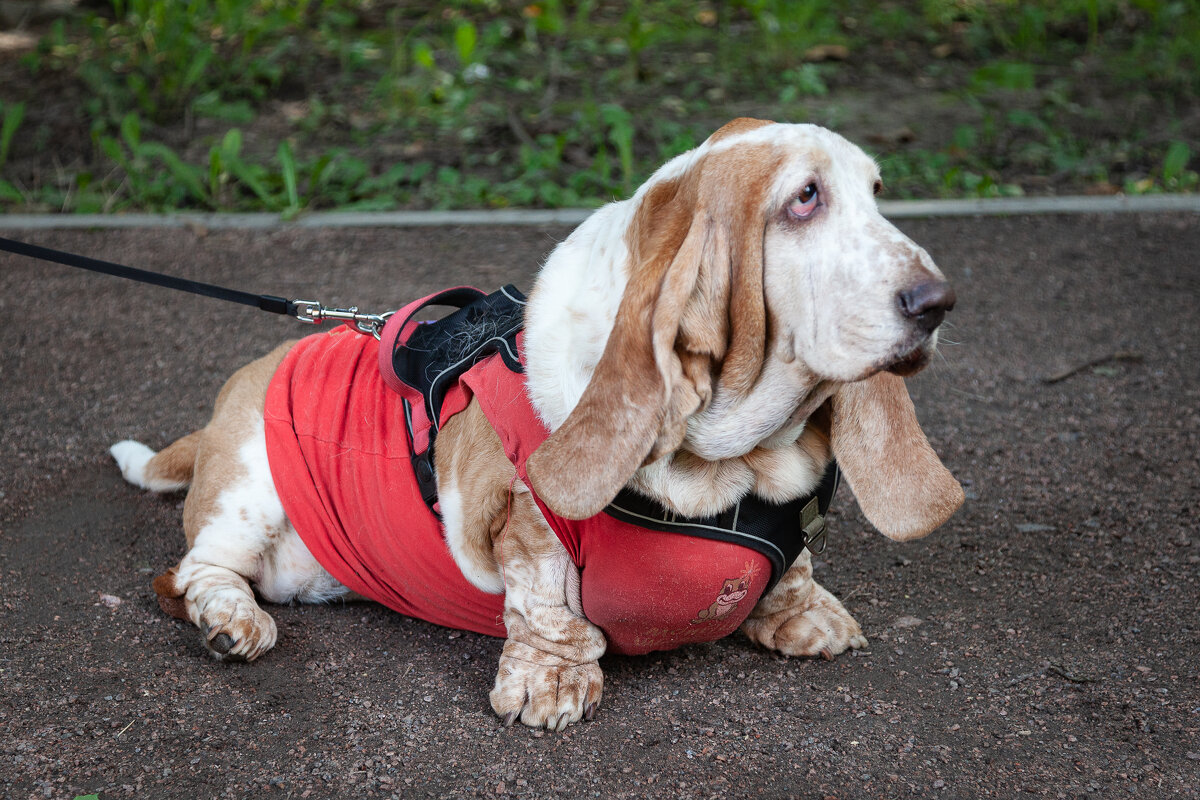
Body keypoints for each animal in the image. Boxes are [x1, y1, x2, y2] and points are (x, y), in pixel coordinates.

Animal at [112, 118, 964, 734]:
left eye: (877, 192)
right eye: (804, 199)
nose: (938, 302)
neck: (737, 462)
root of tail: (241, 387)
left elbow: (794, 567)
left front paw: (803, 616)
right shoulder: (521, 523)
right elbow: (547, 597)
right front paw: (551, 682)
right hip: (248, 489)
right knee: (194, 575)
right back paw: (232, 623)